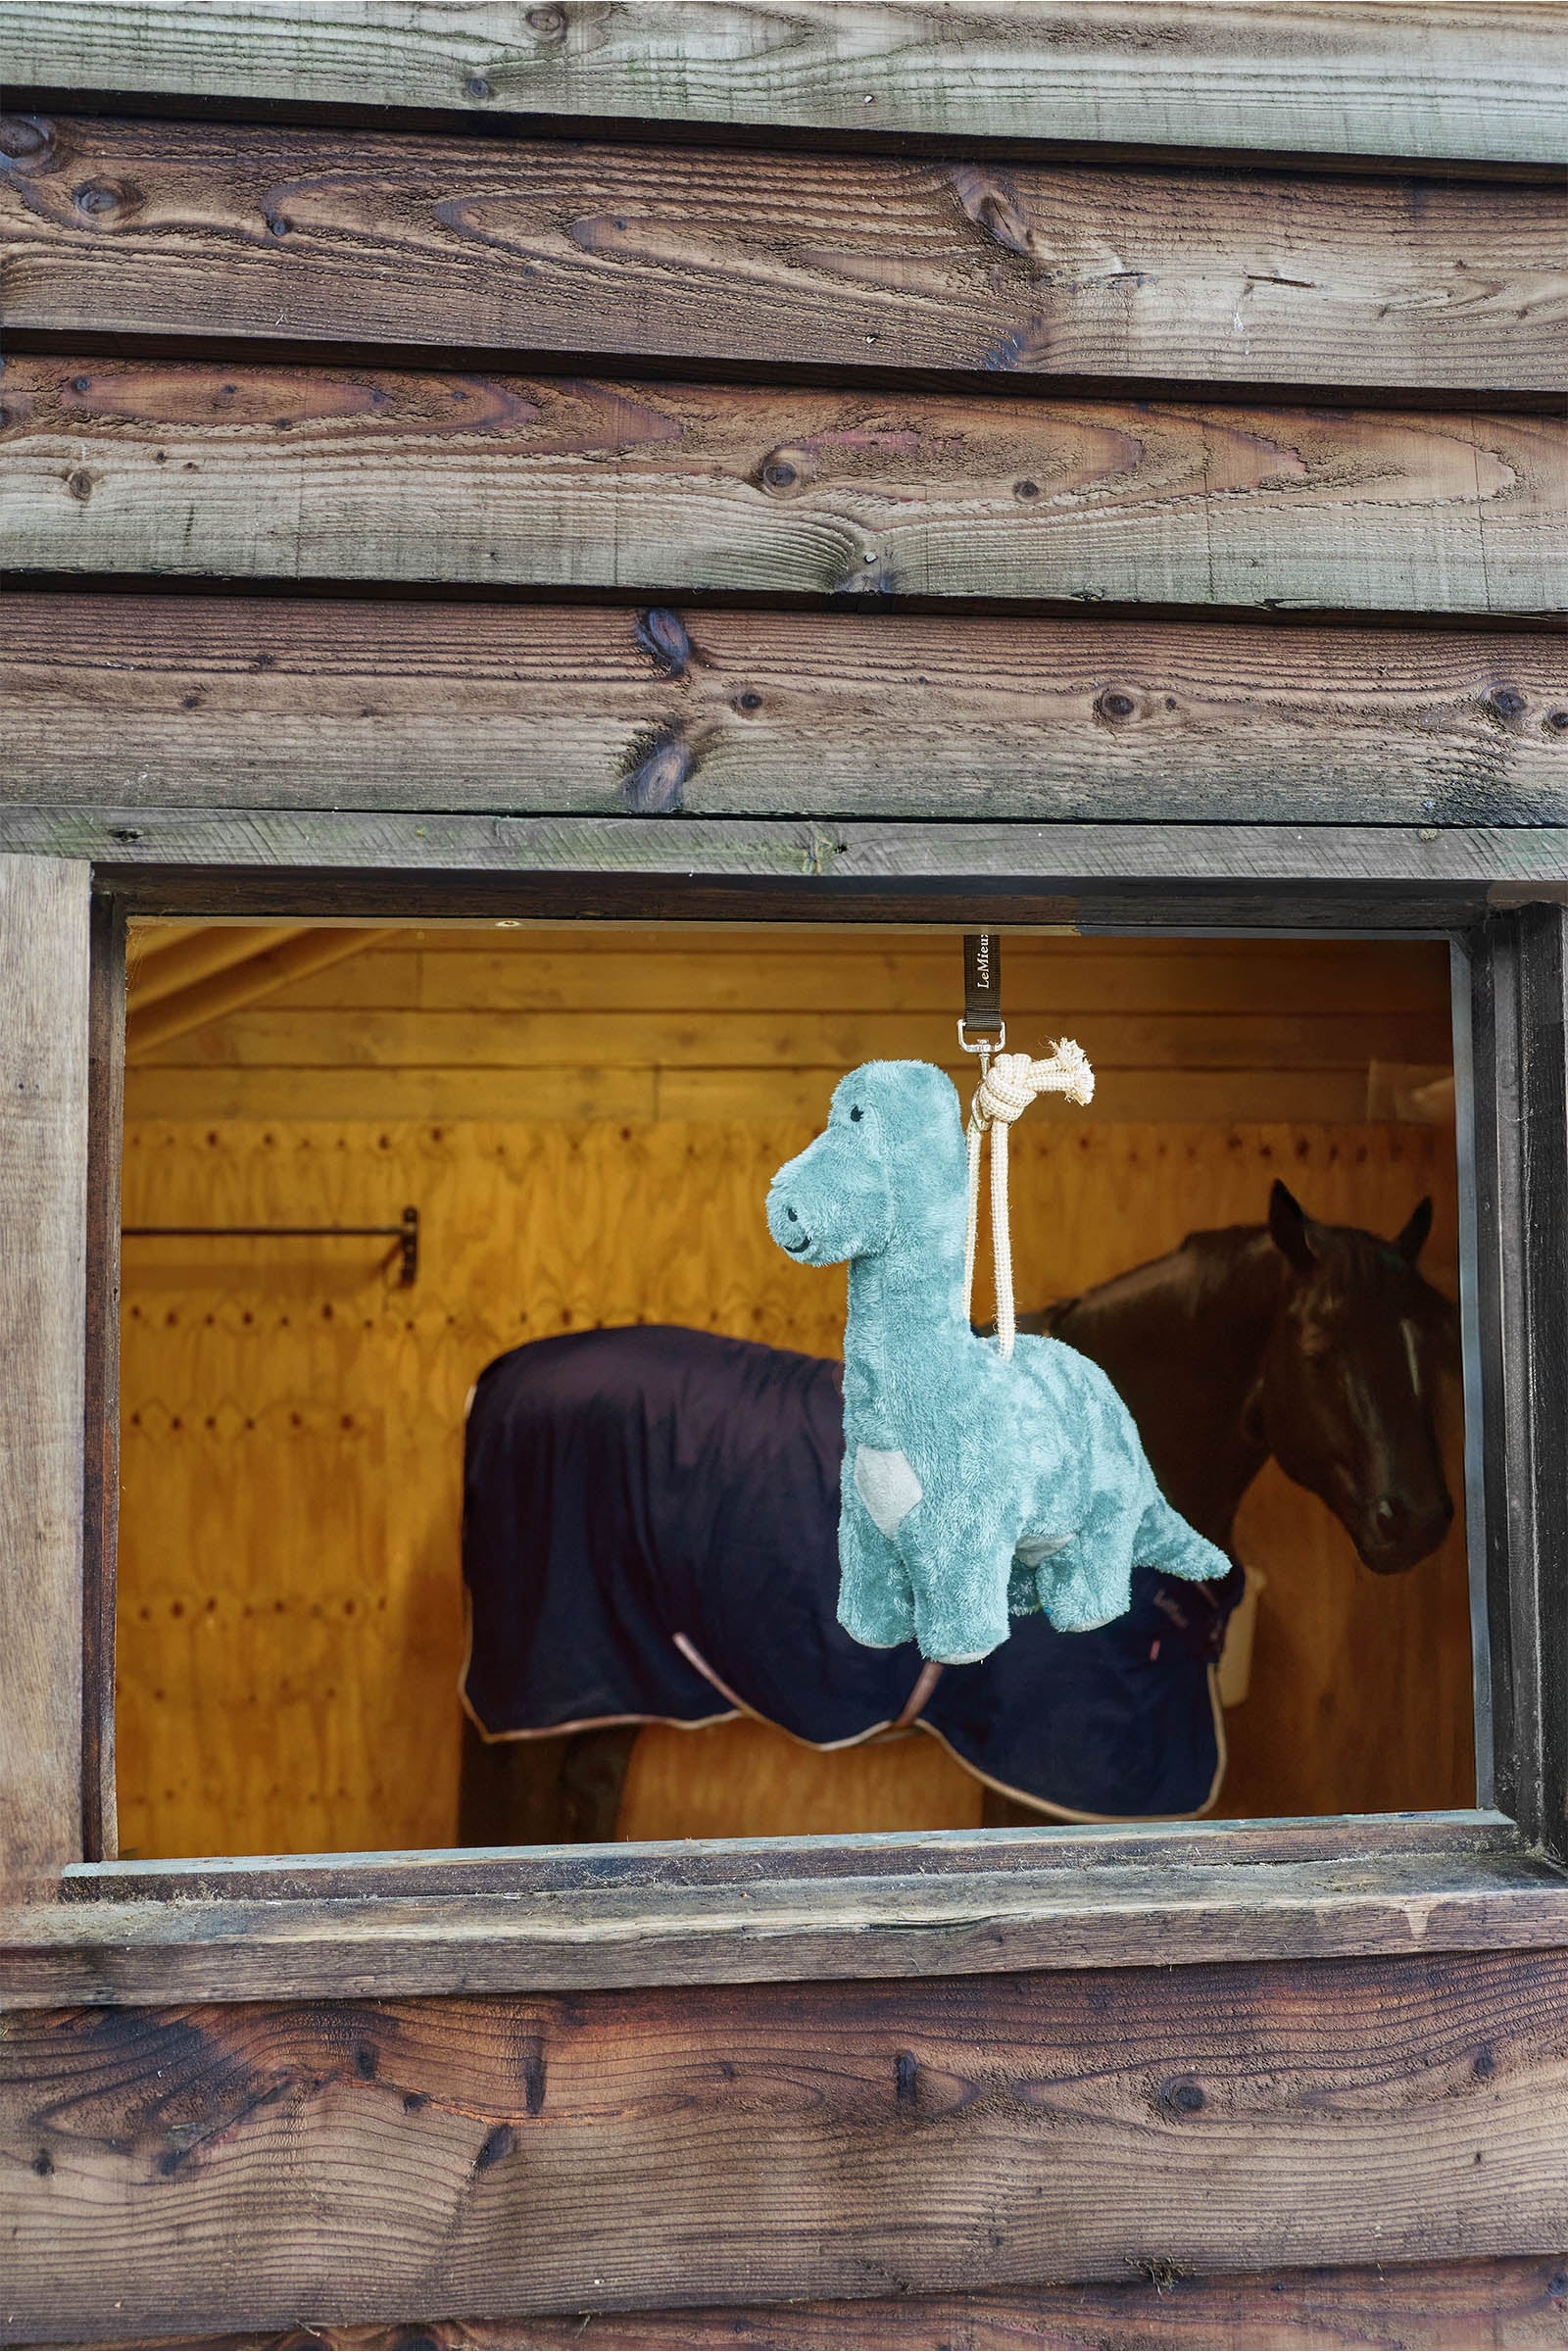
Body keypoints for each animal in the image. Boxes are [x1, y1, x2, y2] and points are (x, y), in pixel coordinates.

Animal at [457, 1179, 1457, 1846]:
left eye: (1438, 1342)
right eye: (1319, 1347)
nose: (1417, 1521)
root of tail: (498, 1378)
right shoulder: (1049, 1767)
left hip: (614, 1687)